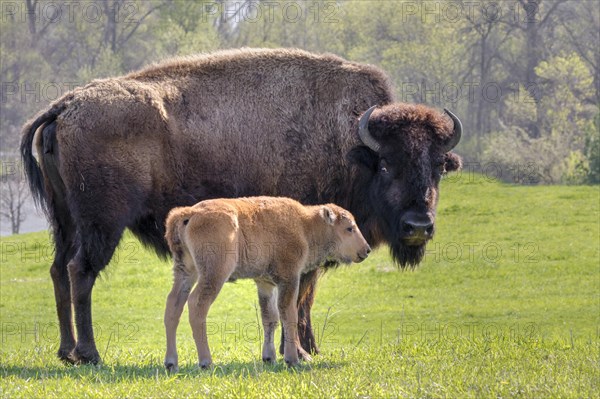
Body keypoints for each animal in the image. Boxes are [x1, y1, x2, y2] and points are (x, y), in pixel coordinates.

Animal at [164, 198, 370, 372]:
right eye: (349, 228)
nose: (366, 250)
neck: (304, 226)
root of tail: (188, 213)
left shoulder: (265, 284)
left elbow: (270, 318)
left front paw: (269, 358)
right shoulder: (289, 278)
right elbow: (289, 314)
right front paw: (292, 359)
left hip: (185, 271)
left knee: (173, 306)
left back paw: (171, 363)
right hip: (214, 274)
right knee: (197, 305)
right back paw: (206, 362)